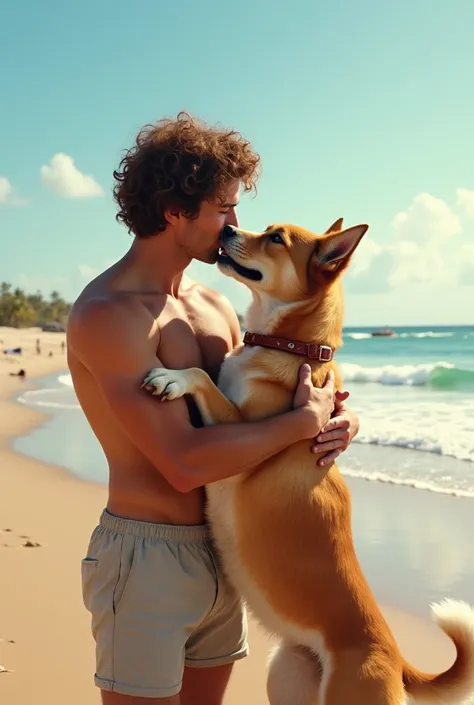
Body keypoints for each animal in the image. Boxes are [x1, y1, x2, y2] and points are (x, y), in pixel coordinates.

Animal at [143, 220, 474, 704]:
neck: (293, 346)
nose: (227, 228)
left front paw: (173, 377)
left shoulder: (236, 437)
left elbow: (202, 376)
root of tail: (396, 657)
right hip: (284, 671)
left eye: (275, 238)